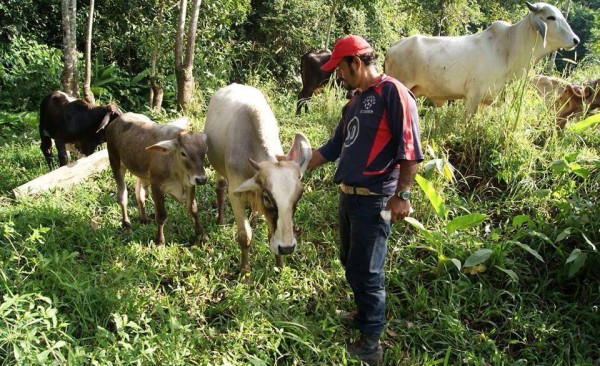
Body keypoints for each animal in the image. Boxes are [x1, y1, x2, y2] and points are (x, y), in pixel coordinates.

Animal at [204, 83, 312, 278]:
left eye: (298, 198)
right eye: (268, 197)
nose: (287, 248)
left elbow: (271, 234)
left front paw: (280, 266)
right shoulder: (235, 194)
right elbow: (244, 236)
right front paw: (245, 273)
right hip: (218, 168)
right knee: (220, 188)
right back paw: (221, 221)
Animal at [386, 2, 580, 120]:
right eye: (551, 17)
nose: (575, 40)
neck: (509, 49)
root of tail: (391, 48)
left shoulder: (491, 100)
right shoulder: (474, 95)